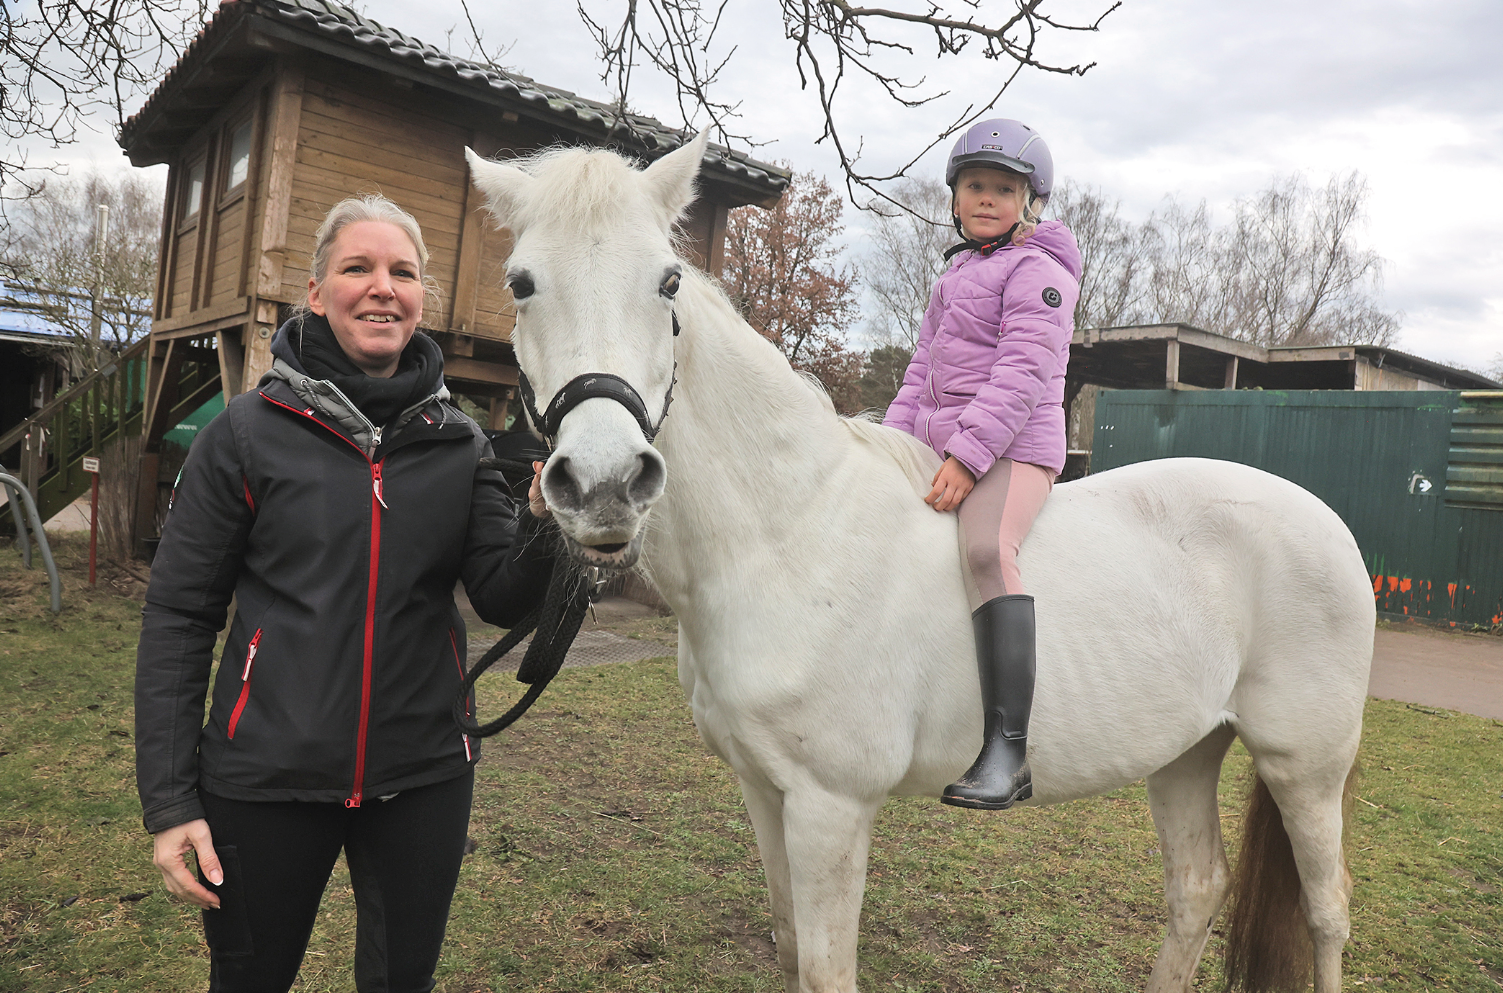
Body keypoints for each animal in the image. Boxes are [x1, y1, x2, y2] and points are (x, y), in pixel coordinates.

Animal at [468, 137, 1376, 991]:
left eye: (664, 284)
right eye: (520, 282)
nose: (604, 484)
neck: (788, 532)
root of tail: (1326, 518)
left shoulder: (830, 807)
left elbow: (824, 969)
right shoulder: (764, 790)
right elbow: (790, 948)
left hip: (1304, 763)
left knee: (1326, 910)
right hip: (1186, 751)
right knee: (1195, 887)